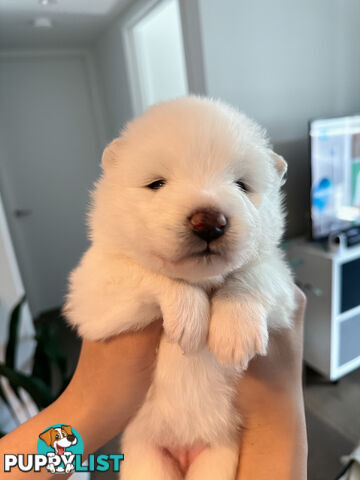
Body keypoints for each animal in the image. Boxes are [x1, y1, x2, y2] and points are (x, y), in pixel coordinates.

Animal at [64, 95, 296, 478]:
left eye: (242, 185)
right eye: (157, 184)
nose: (210, 222)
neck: (202, 280)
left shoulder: (281, 281)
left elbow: (250, 275)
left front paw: (235, 331)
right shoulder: (93, 287)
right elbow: (150, 273)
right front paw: (191, 320)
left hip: (218, 456)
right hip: (145, 458)